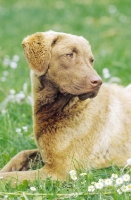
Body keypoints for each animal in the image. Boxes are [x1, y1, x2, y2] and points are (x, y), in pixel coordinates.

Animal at [0, 31, 131, 183]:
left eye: (91, 60)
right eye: (69, 54)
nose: (98, 82)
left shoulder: (59, 170)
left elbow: (8, 177)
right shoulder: (46, 155)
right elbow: (20, 155)